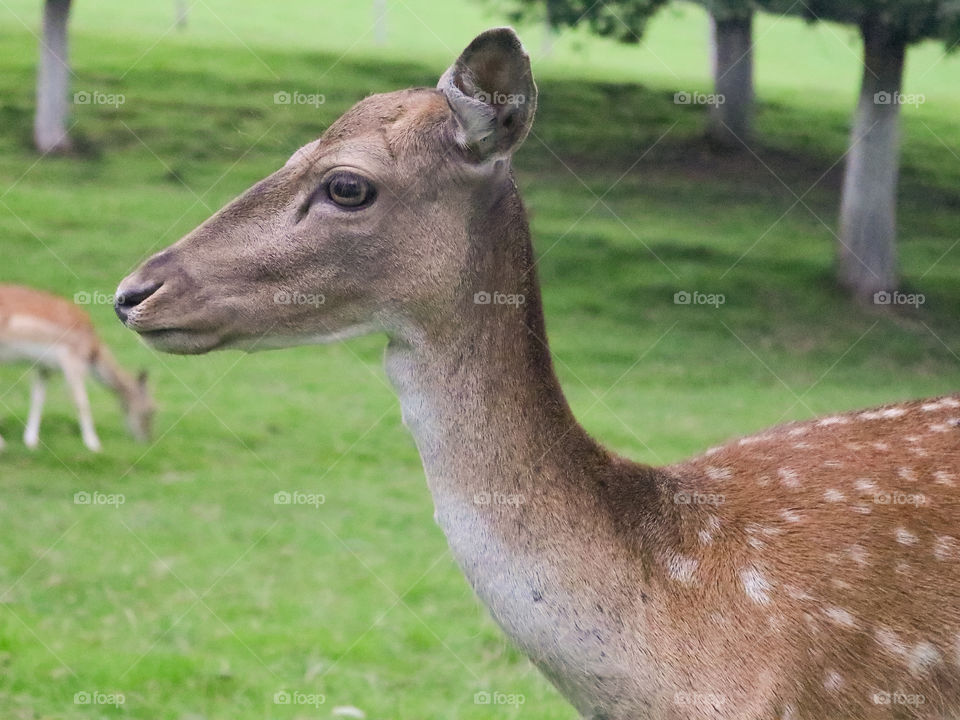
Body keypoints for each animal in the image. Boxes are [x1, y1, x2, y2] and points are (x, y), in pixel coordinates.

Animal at [0, 284, 154, 451]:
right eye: (151, 410)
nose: (146, 439)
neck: (93, 351)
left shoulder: (44, 367)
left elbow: (37, 399)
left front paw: (31, 441)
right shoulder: (72, 360)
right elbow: (81, 402)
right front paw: (93, 444)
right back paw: (2, 444)